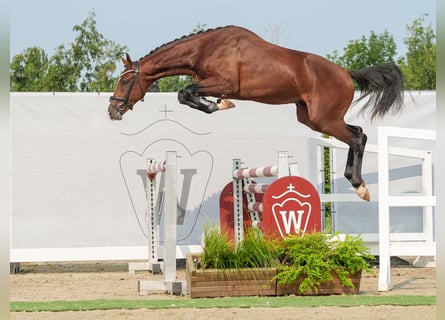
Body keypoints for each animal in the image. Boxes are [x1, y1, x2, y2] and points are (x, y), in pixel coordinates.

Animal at [107, 25, 402, 200]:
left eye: (125, 80)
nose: (112, 110)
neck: (204, 49)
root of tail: (346, 73)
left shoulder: (224, 82)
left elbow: (185, 93)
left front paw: (219, 105)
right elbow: (187, 95)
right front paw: (219, 104)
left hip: (325, 118)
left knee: (357, 137)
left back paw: (359, 186)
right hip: (312, 119)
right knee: (357, 133)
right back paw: (356, 183)